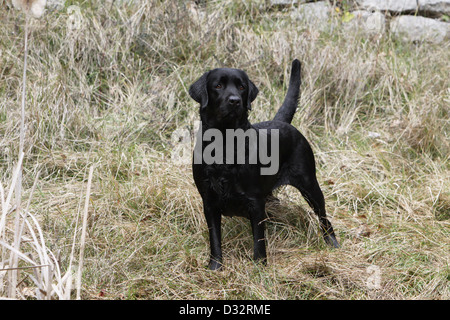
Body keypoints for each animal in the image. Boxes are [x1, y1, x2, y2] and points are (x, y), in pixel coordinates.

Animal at [188, 60, 340, 270]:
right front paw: (215, 267)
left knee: (323, 216)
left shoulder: (255, 201)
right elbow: (215, 238)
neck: (225, 143)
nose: (235, 100)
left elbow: (258, 239)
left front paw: (259, 265)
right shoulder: (209, 201)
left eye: (241, 87)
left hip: (309, 185)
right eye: (218, 86)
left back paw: (331, 242)